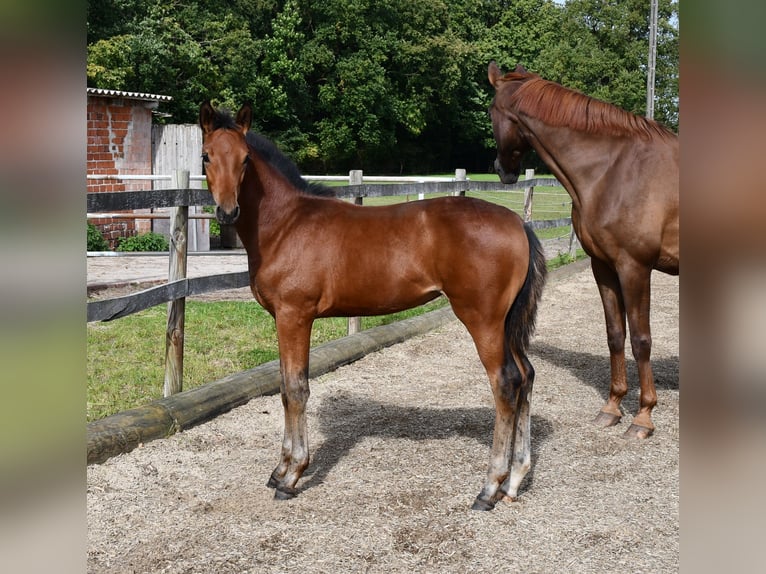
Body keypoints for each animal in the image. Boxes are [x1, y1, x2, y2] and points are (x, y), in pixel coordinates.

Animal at [198, 101, 544, 510]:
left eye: (245, 159)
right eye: (206, 156)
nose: (227, 212)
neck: (286, 225)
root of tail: (518, 224)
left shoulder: (294, 316)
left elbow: (296, 390)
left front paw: (292, 475)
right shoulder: (283, 319)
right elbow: (284, 387)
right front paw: (278, 470)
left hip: (483, 319)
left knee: (505, 383)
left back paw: (489, 488)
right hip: (506, 323)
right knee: (525, 376)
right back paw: (515, 480)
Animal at [488, 62, 680, 440]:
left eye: (491, 112)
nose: (502, 171)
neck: (613, 171)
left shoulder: (635, 267)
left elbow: (641, 339)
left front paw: (643, 417)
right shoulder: (603, 265)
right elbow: (615, 334)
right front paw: (612, 408)